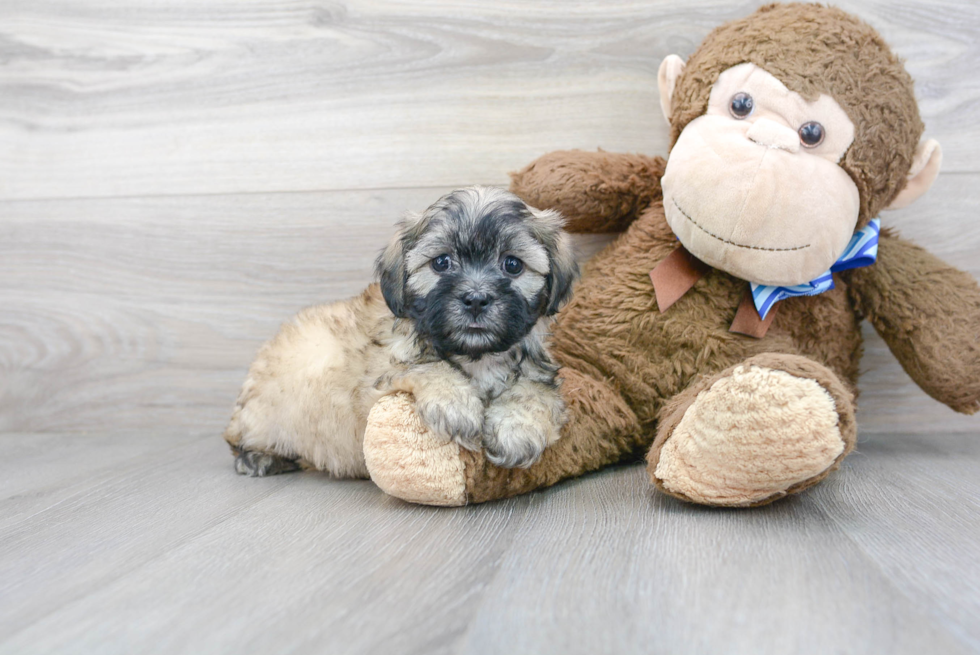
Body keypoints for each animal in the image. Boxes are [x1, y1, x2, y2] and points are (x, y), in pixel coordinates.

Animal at [226, 187, 580, 480]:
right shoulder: (375, 386)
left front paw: (516, 430)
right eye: (441, 262)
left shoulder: (537, 368)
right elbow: (427, 367)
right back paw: (260, 457)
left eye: (512, 264)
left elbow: (535, 392)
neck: (476, 357)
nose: (476, 299)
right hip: (264, 414)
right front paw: (457, 405)